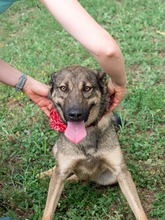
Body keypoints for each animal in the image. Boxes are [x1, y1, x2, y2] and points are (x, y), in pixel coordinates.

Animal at [41, 64, 147, 219]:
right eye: (63, 88)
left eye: (87, 88)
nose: (75, 114)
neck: (86, 134)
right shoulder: (61, 171)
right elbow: (48, 210)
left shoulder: (120, 171)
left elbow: (138, 209)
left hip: (110, 177)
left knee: (79, 177)